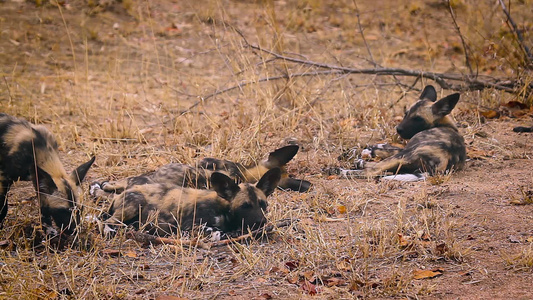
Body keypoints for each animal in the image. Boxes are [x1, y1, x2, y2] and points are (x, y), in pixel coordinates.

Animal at [94, 168, 280, 236]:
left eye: (263, 204)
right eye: (245, 206)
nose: (262, 221)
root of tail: (118, 196)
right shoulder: (192, 227)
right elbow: (219, 232)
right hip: (134, 204)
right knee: (107, 222)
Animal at [334, 85, 464, 182]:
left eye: (418, 119)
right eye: (406, 114)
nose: (398, 129)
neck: (444, 124)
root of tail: (444, 160)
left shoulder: (404, 149)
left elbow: (382, 150)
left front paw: (365, 151)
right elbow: (383, 147)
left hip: (404, 155)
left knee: (374, 170)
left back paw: (343, 170)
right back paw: (359, 163)